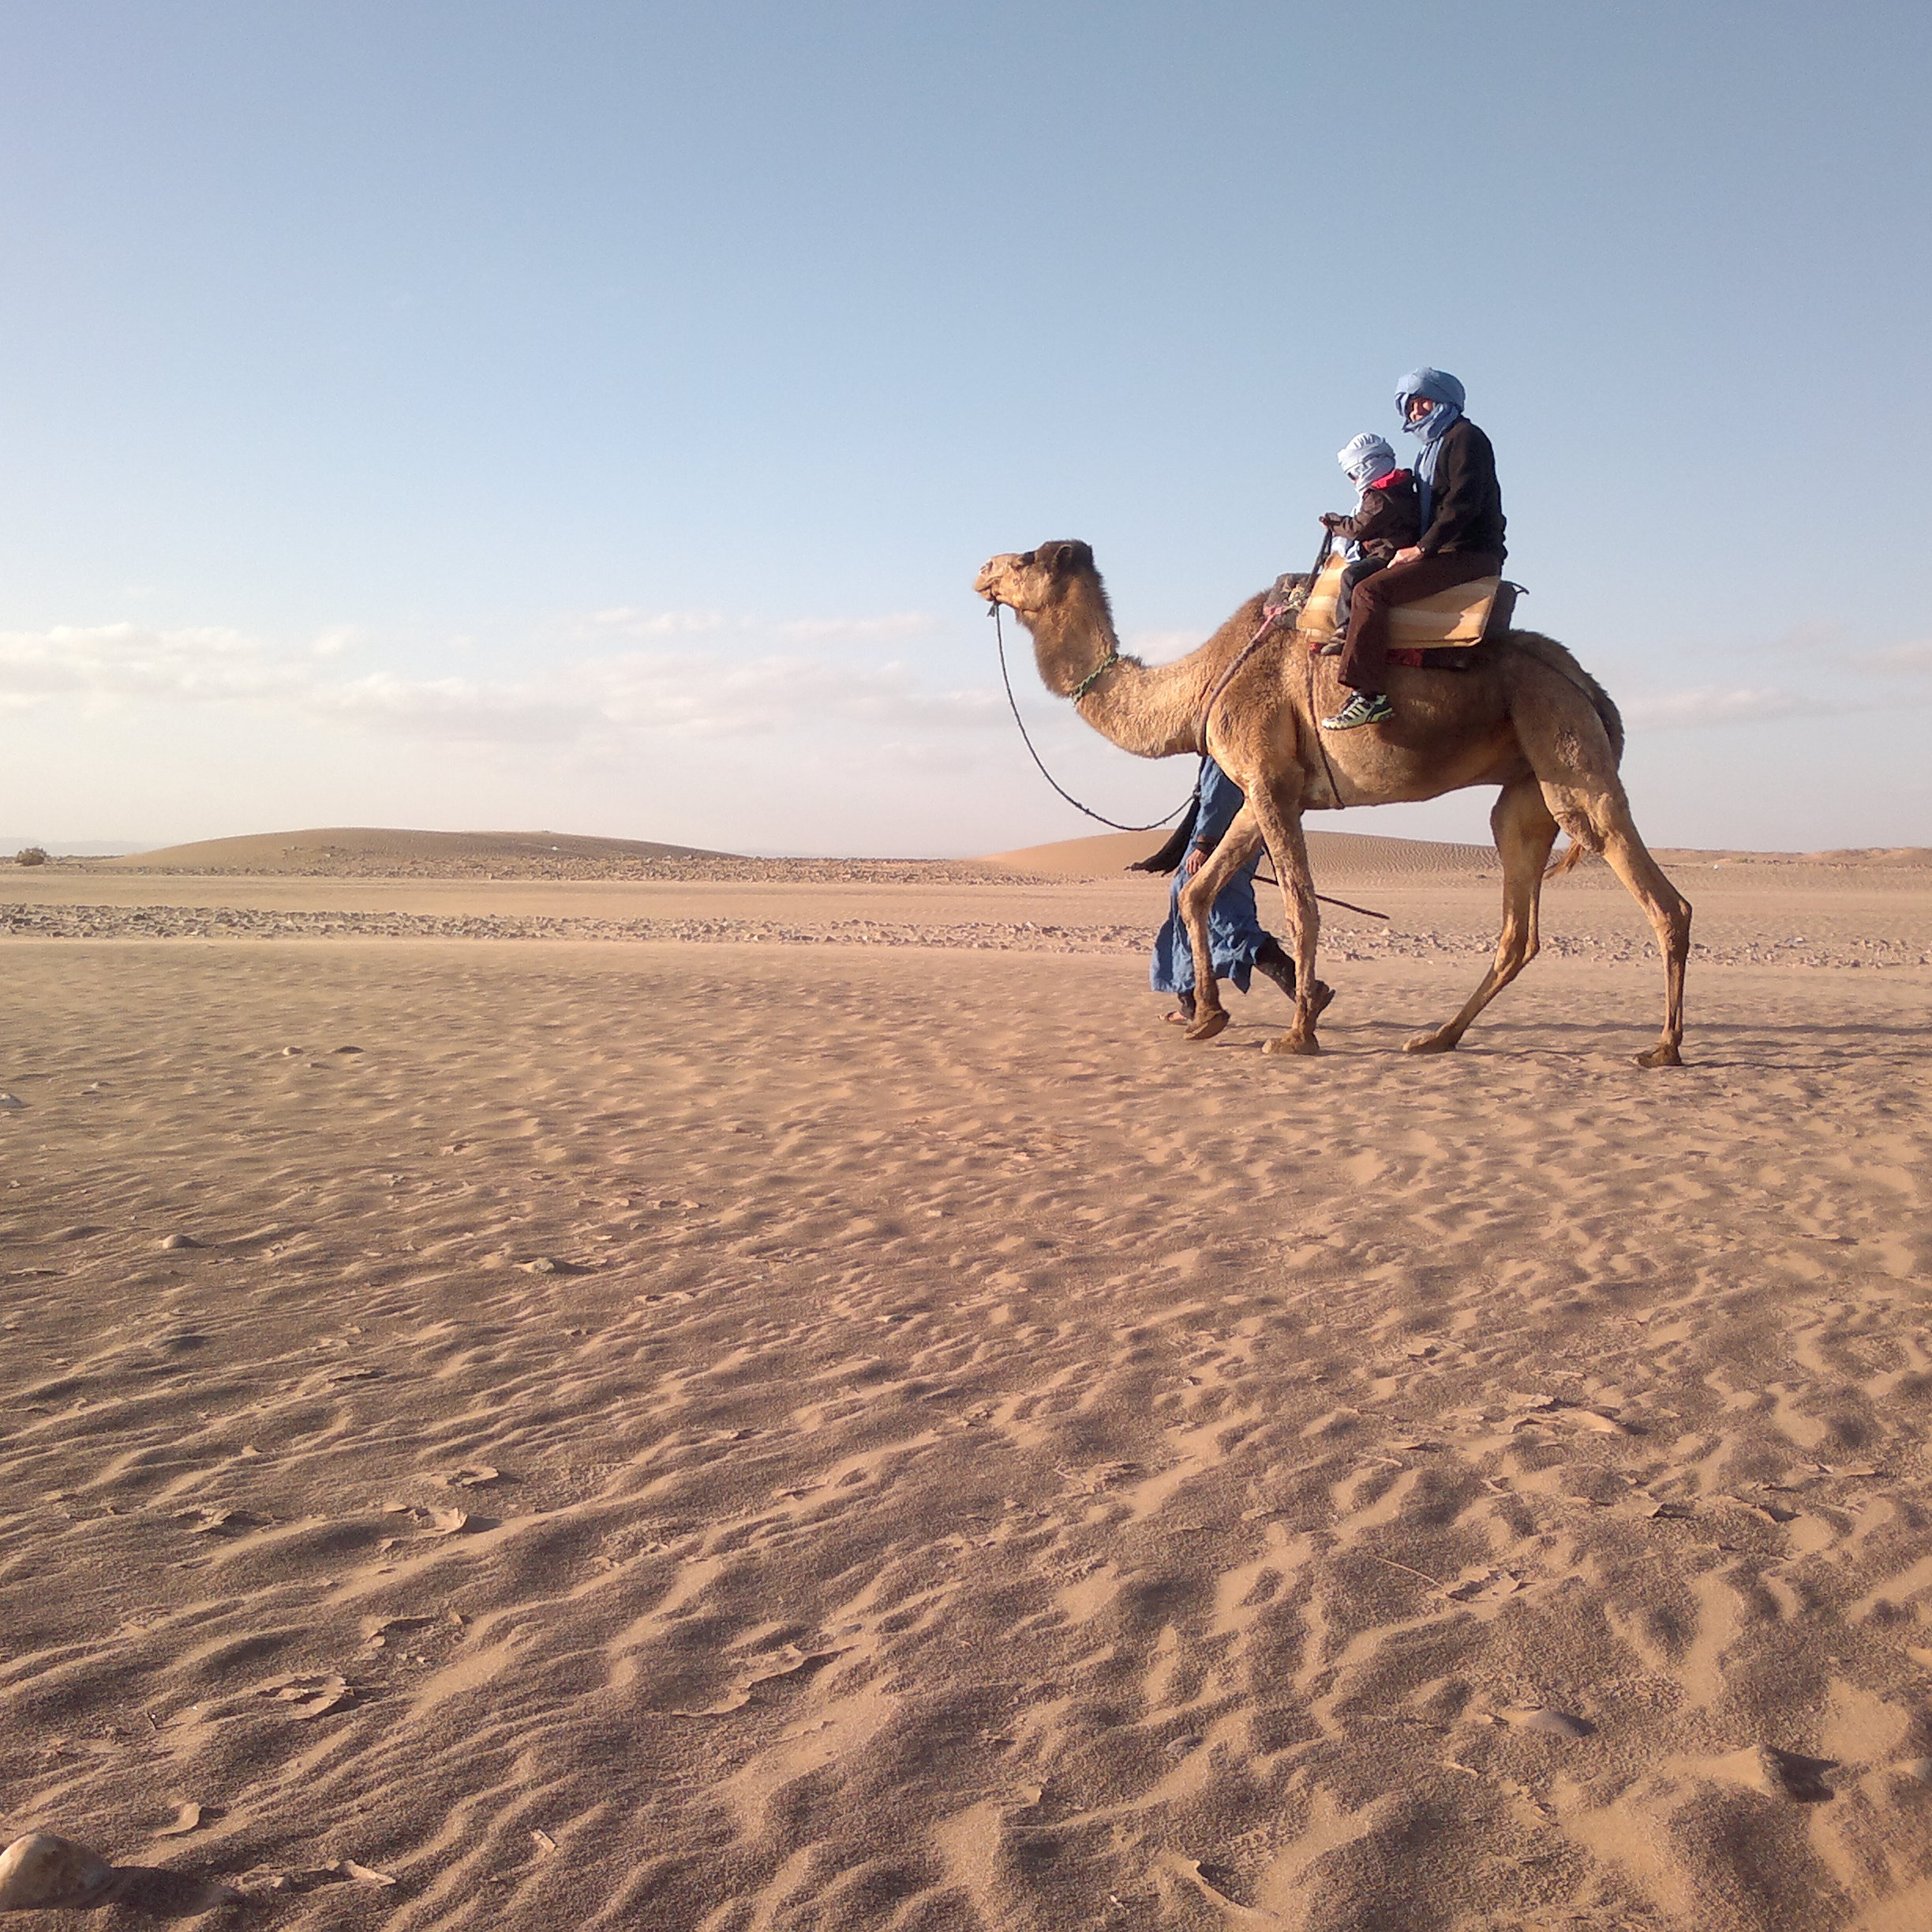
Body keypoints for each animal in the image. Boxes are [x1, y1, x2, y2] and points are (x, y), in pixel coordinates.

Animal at [973, 537, 1684, 1066]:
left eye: (1028, 558)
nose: (981, 570)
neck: (1205, 681)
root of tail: (1588, 686)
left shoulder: (1265, 780)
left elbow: (1301, 907)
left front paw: (1296, 1034)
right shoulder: (1270, 790)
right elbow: (1199, 889)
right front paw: (1208, 1016)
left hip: (1565, 751)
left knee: (1658, 896)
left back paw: (1664, 1048)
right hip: (1524, 793)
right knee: (1518, 928)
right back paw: (1437, 1038)